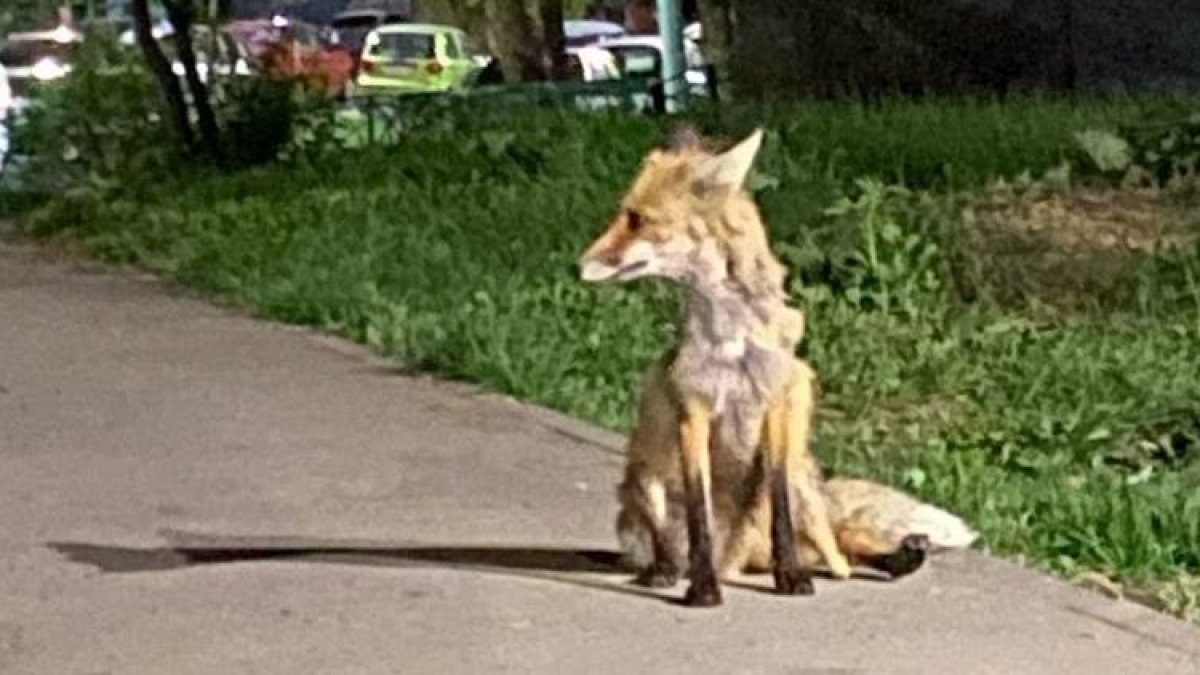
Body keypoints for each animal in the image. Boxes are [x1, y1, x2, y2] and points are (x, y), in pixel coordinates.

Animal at [576, 126, 979, 605]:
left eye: (637, 219)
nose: (579, 264)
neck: (733, 341)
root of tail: (737, 560)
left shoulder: (775, 406)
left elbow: (782, 515)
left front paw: (791, 577)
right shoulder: (694, 410)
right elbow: (698, 516)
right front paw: (703, 587)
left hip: (804, 479)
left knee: (839, 554)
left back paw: (896, 557)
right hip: (643, 483)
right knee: (671, 549)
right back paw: (666, 571)